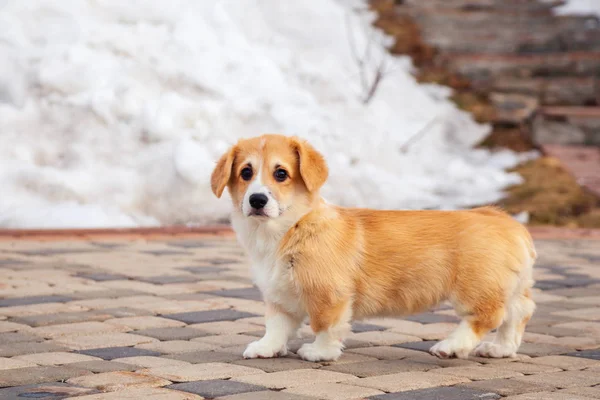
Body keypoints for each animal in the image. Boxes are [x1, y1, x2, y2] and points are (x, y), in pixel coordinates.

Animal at [210, 134, 536, 362]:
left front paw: (319, 353)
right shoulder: (280, 295)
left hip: (474, 287)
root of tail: (508, 222)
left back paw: (450, 346)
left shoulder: (328, 295)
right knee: (518, 312)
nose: (257, 200)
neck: (288, 229)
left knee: (487, 316)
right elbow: (276, 326)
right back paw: (500, 349)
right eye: (246, 172)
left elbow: (324, 326)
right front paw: (265, 348)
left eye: (281, 173)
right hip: (506, 286)